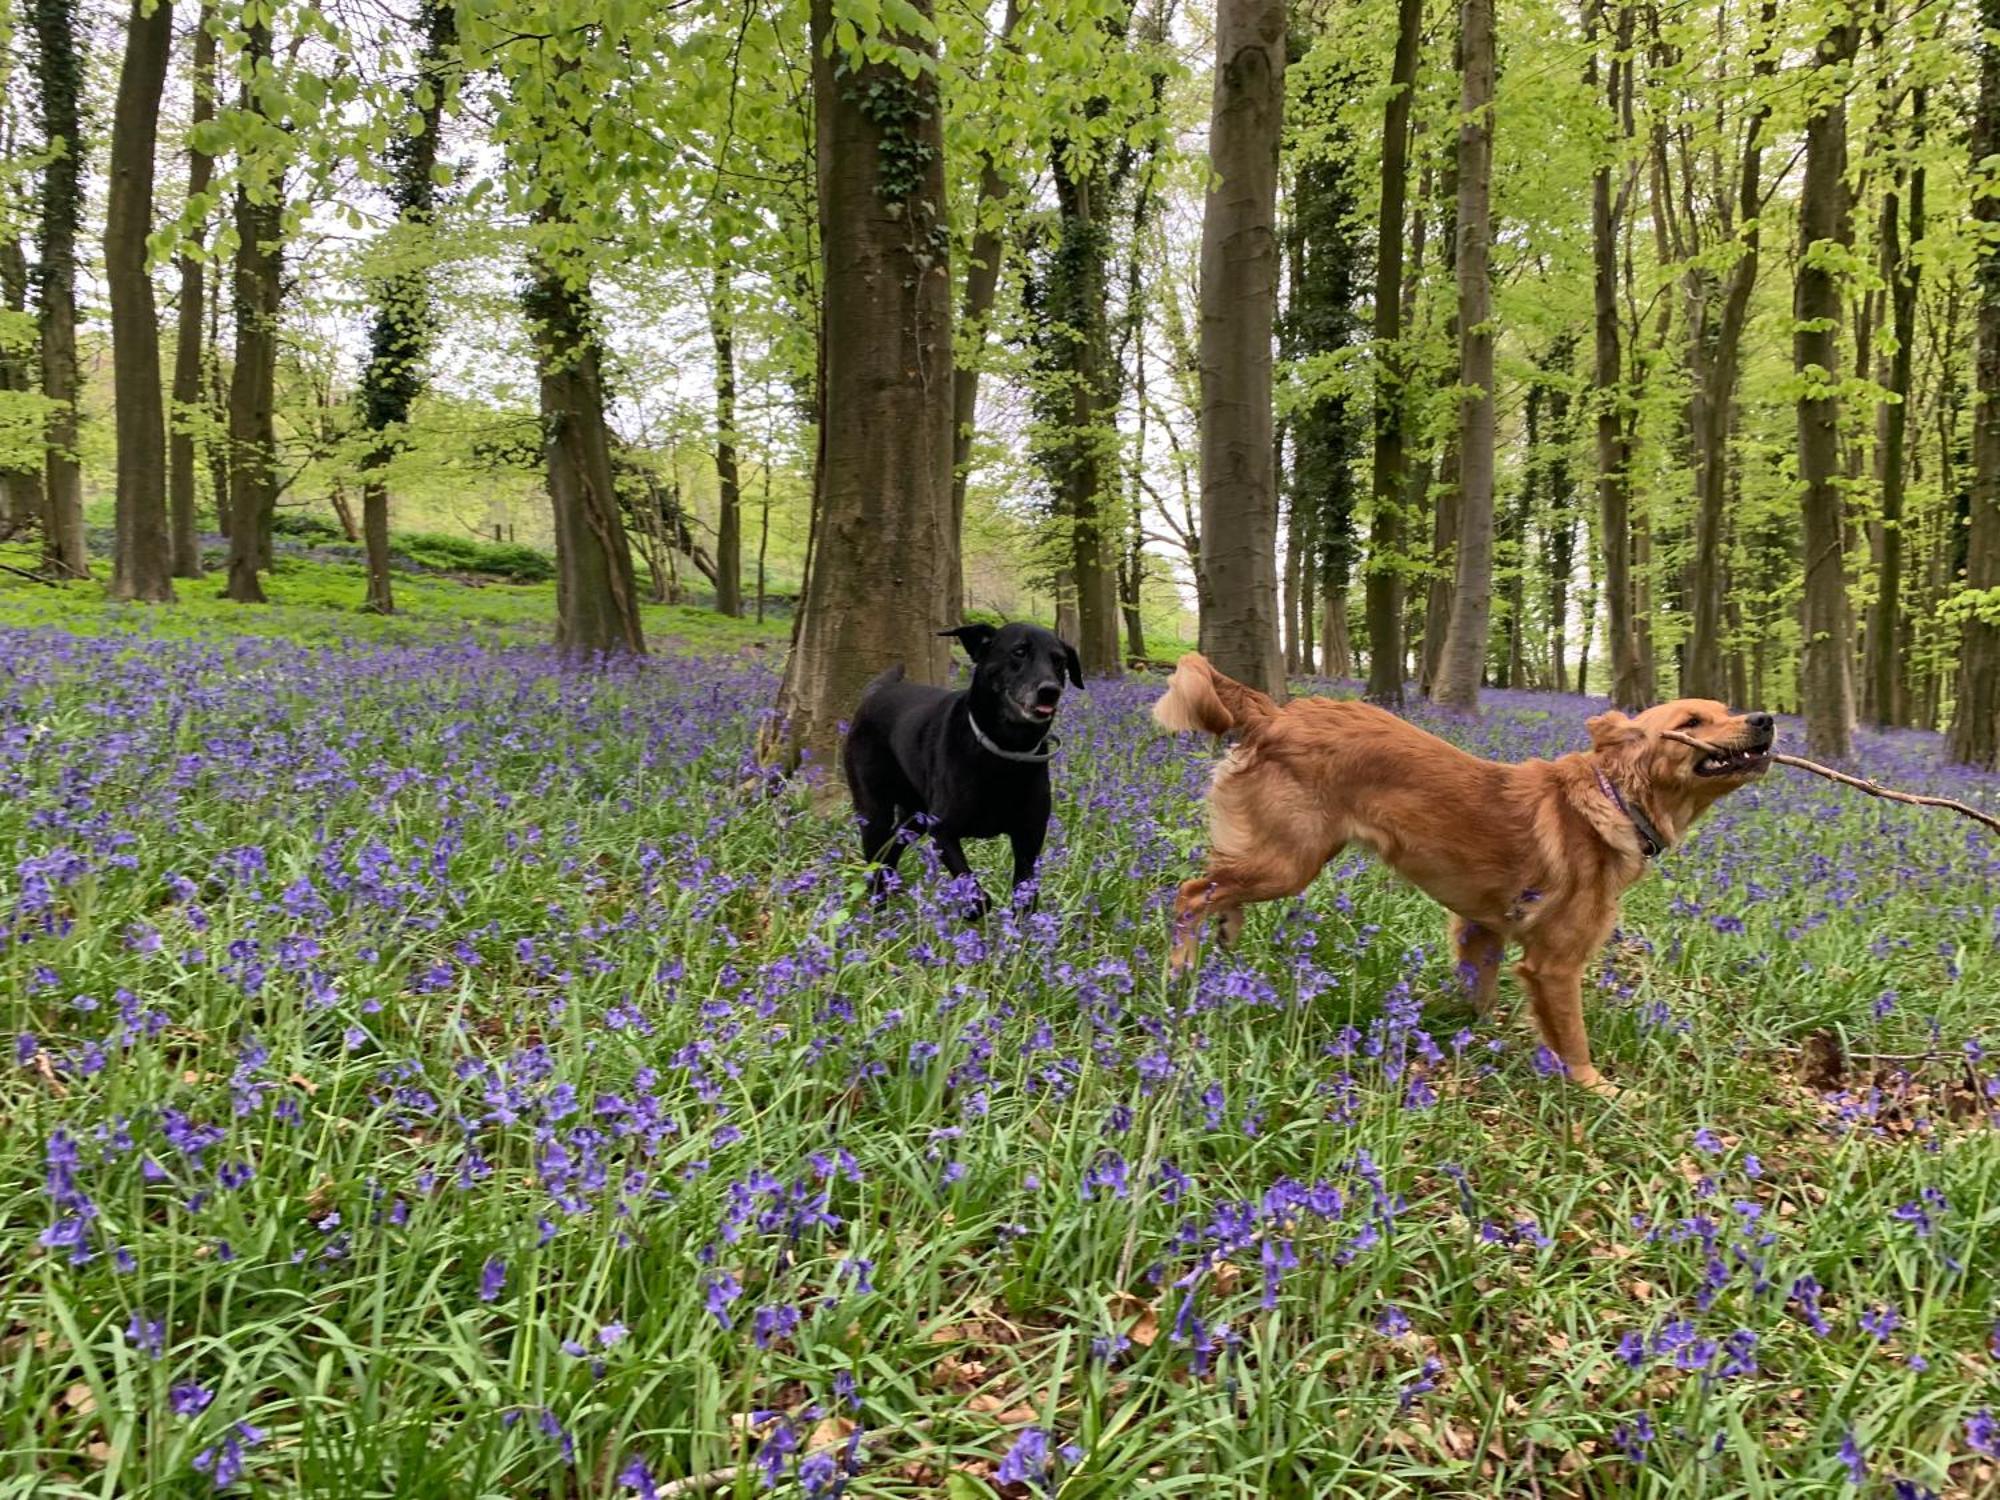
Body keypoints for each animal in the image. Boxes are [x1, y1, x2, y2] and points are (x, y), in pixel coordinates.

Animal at [848, 624, 1088, 916]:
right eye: (1019, 651)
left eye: (1059, 661)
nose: (1050, 690)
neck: (1004, 753)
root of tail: (876, 692)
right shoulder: (943, 831)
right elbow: (975, 889)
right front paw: (970, 908)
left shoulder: (1029, 835)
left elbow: (1026, 897)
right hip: (875, 811)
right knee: (876, 857)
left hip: (916, 816)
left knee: (891, 849)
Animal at [1152, 656, 1776, 1096]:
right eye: (1691, 722)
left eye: (1726, 709)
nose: (1765, 718)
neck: (1615, 798)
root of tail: (1277, 712)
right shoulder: (1556, 966)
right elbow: (1573, 1038)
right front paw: (1598, 1091)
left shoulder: (1482, 931)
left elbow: (1480, 995)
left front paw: (1474, 1042)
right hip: (1289, 863)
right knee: (1191, 891)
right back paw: (1179, 970)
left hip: (1287, 859)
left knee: (1219, 880)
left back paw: (1227, 928)